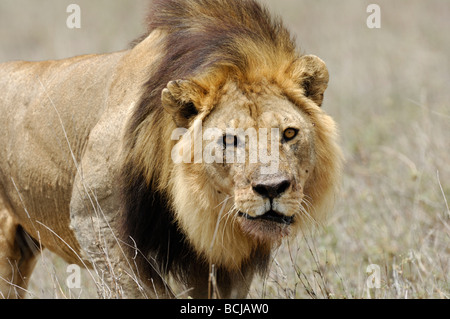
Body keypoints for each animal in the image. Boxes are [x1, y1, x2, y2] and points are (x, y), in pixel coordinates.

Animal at [0, 0, 342, 300]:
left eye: (289, 133)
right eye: (230, 140)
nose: (272, 188)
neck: (192, 202)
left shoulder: (223, 259)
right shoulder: (95, 221)